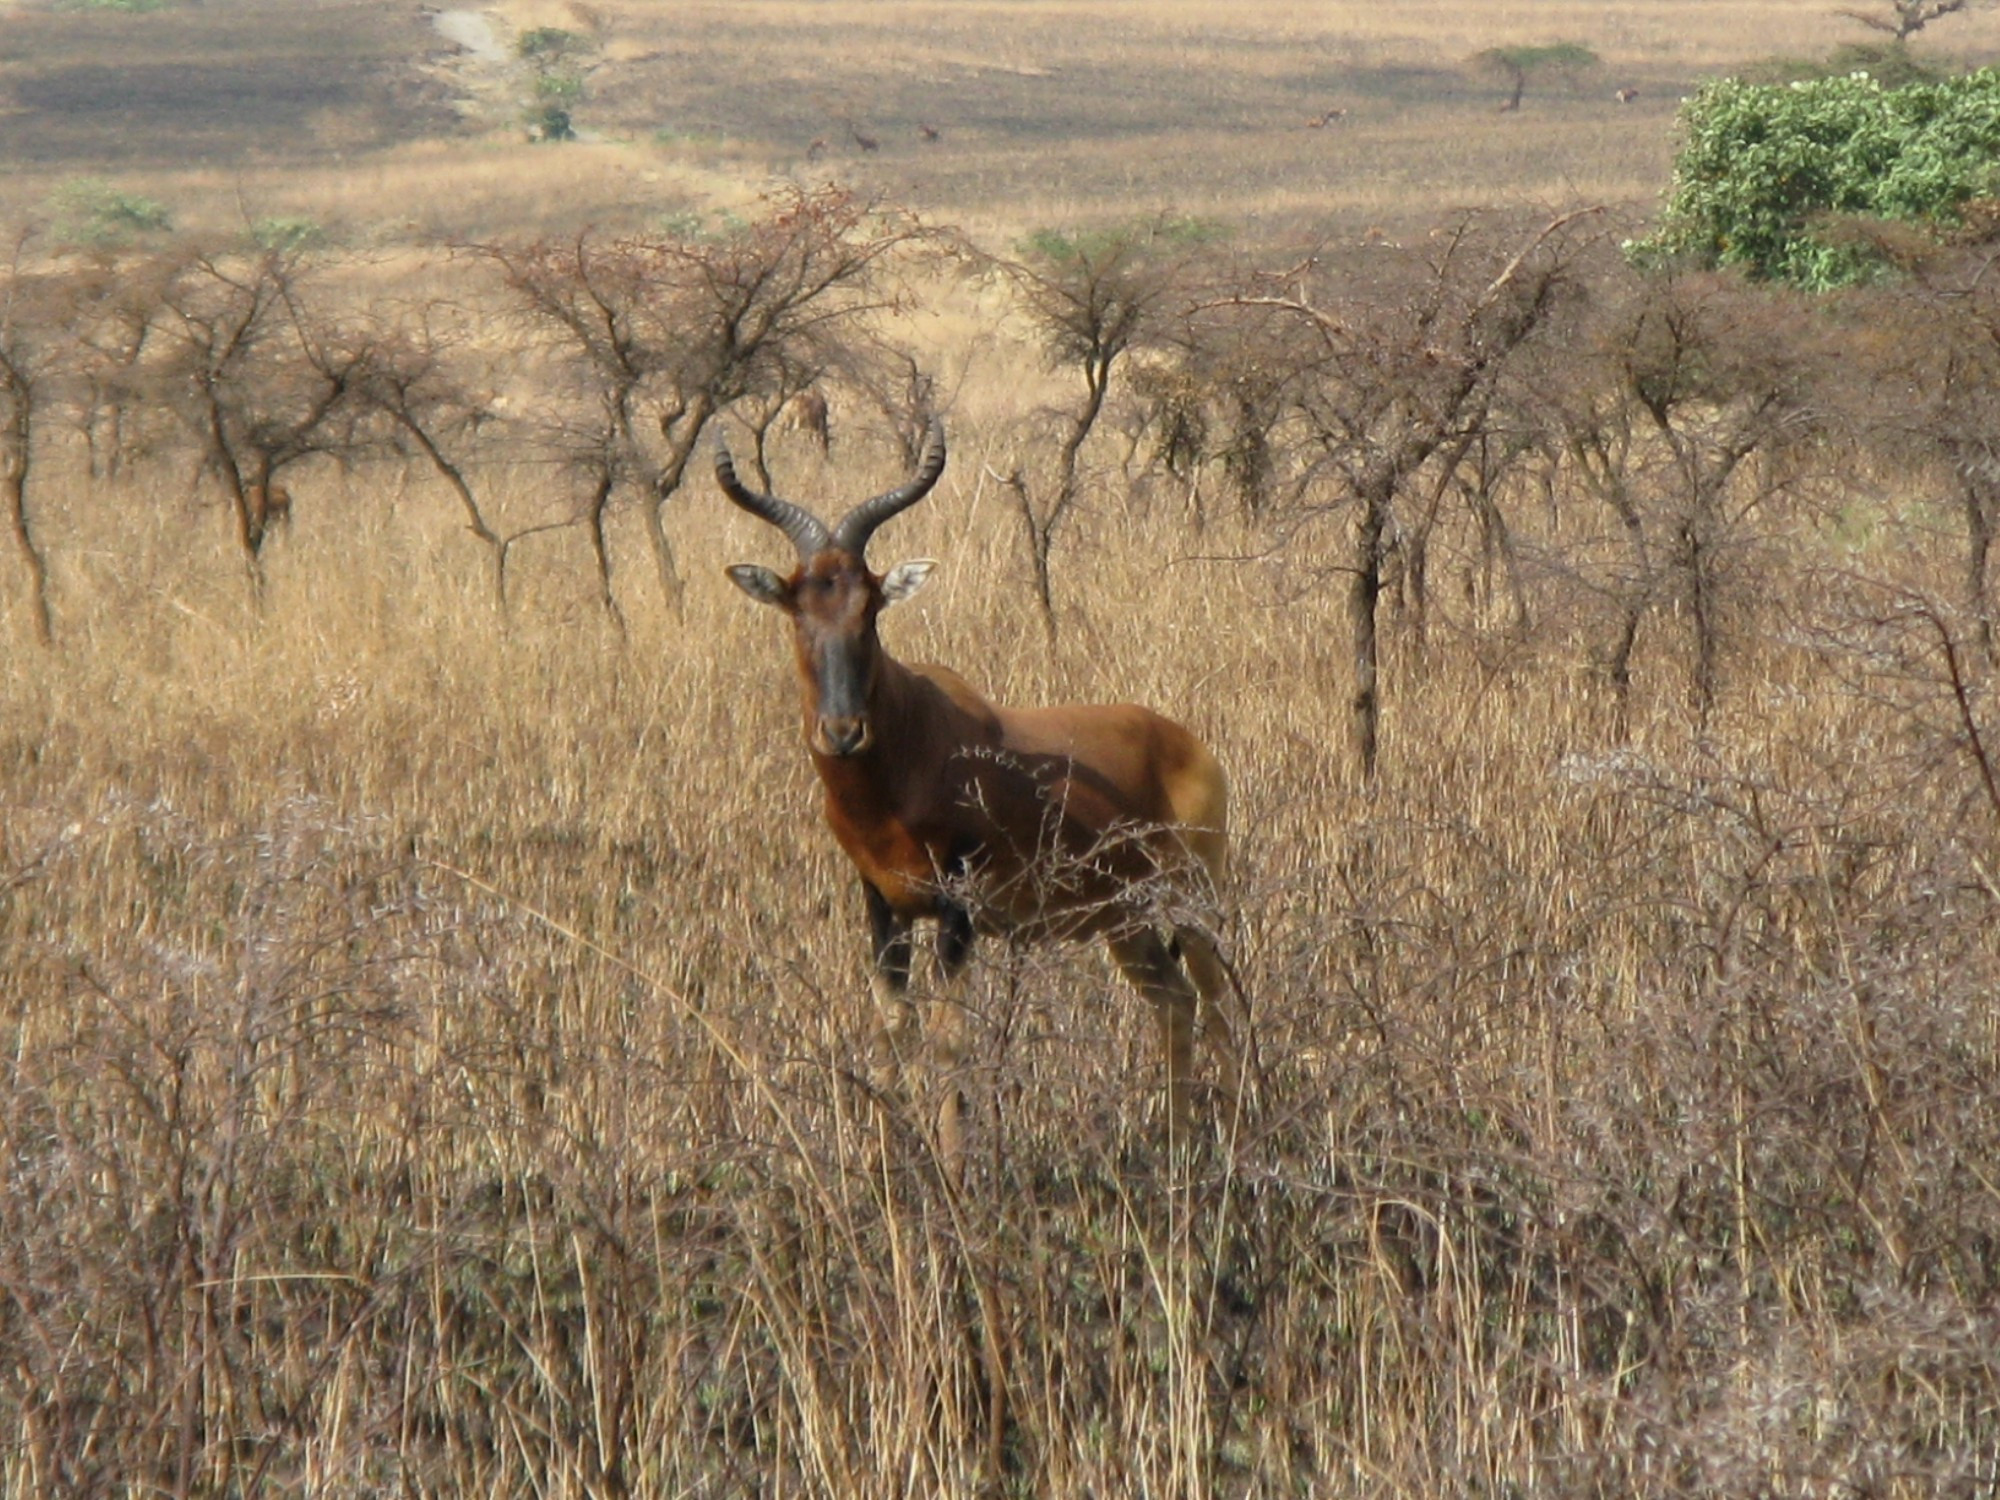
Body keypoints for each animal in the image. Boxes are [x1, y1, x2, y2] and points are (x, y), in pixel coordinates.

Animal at [720, 424, 1240, 1136]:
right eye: (797, 608)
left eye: (870, 607)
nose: (843, 732)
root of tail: (1189, 744)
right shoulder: (882, 905)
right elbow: (893, 1031)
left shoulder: (957, 908)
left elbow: (948, 1041)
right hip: (1124, 919)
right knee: (1173, 1001)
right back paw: (1177, 1142)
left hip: (1190, 898)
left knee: (1218, 1006)